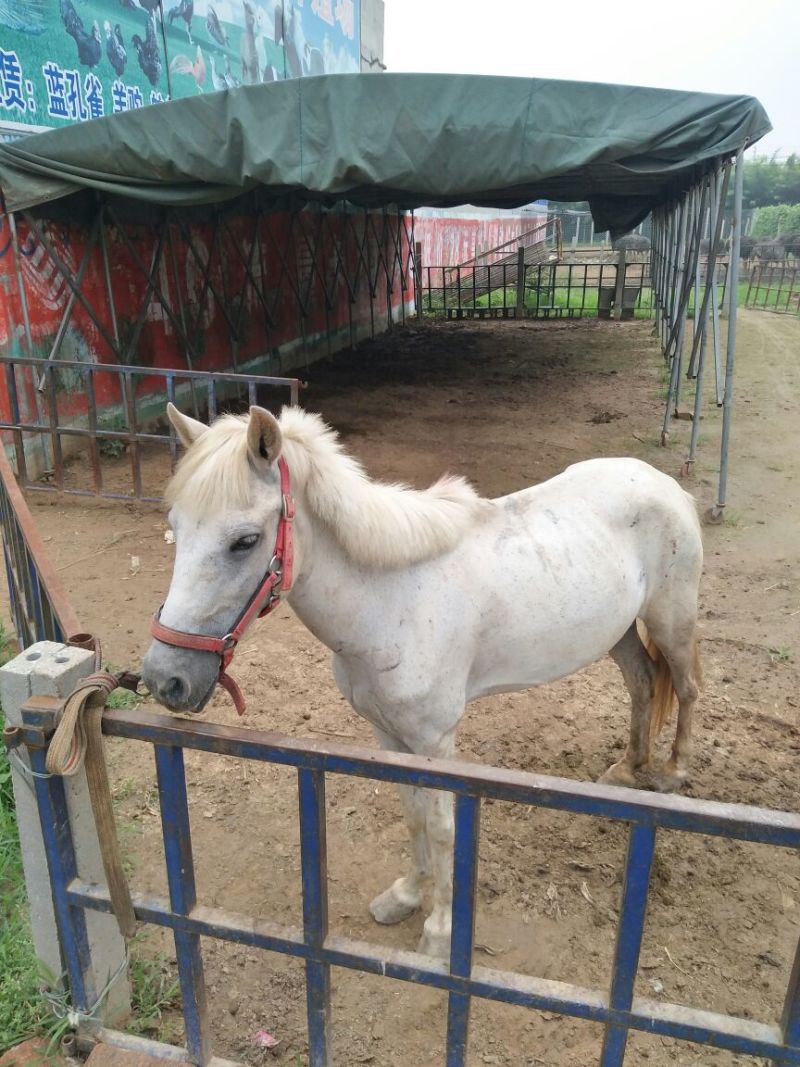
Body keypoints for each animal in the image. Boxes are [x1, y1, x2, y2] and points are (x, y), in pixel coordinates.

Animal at [142, 404, 704, 958]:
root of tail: (663, 483)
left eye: (245, 541)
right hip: (620, 632)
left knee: (687, 689)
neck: (391, 600)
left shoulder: (434, 743)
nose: (165, 678)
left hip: (672, 622)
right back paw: (627, 769)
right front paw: (406, 897)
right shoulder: (388, 735)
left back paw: (672, 772)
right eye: (175, 526)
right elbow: (412, 814)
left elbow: (442, 826)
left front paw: (440, 929)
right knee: (642, 683)